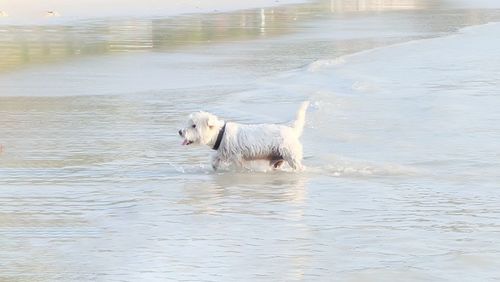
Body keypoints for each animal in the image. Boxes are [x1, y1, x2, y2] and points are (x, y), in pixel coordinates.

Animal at [176, 102, 308, 171]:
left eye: (194, 125)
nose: (180, 132)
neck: (220, 135)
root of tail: (292, 131)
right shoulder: (221, 153)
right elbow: (214, 161)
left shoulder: (237, 157)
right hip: (278, 159)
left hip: (291, 155)